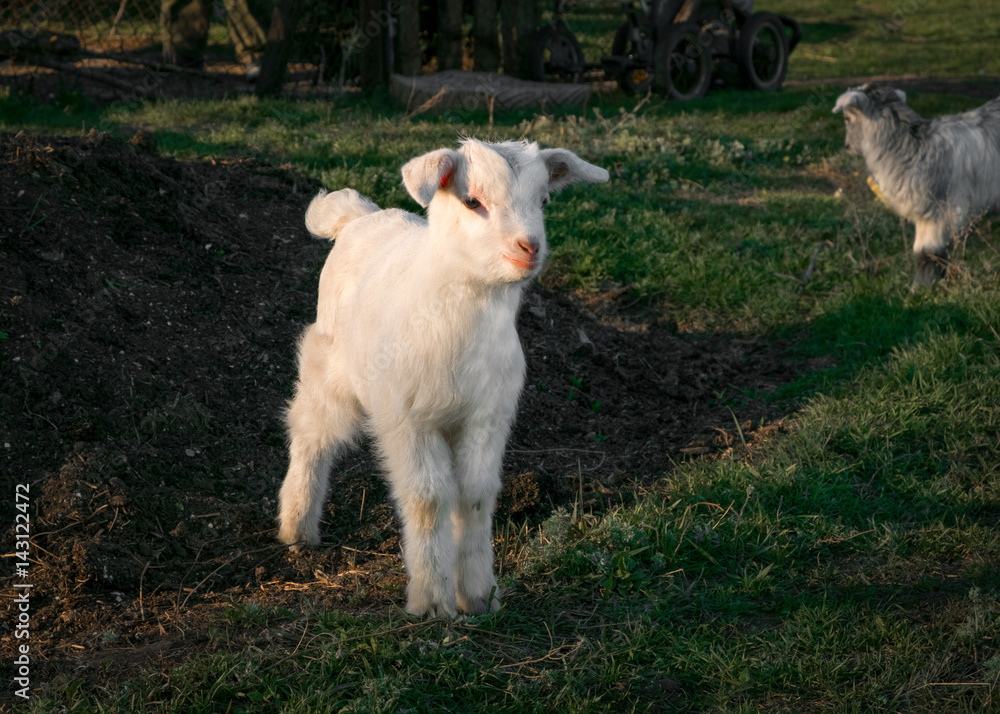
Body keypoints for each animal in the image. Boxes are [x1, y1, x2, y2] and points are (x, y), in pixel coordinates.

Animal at [277, 139, 609, 617]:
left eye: (544, 200)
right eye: (472, 201)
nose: (529, 247)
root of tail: (359, 216)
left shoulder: (487, 416)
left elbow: (475, 494)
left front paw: (479, 595)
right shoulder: (407, 417)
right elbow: (429, 499)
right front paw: (432, 600)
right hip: (330, 367)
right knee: (310, 434)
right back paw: (297, 528)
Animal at [833, 83, 1000, 287]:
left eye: (847, 118)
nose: (847, 146)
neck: (914, 147)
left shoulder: (942, 209)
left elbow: (928, 251)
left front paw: (922, 286)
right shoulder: (925, 214)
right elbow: (923, 249)